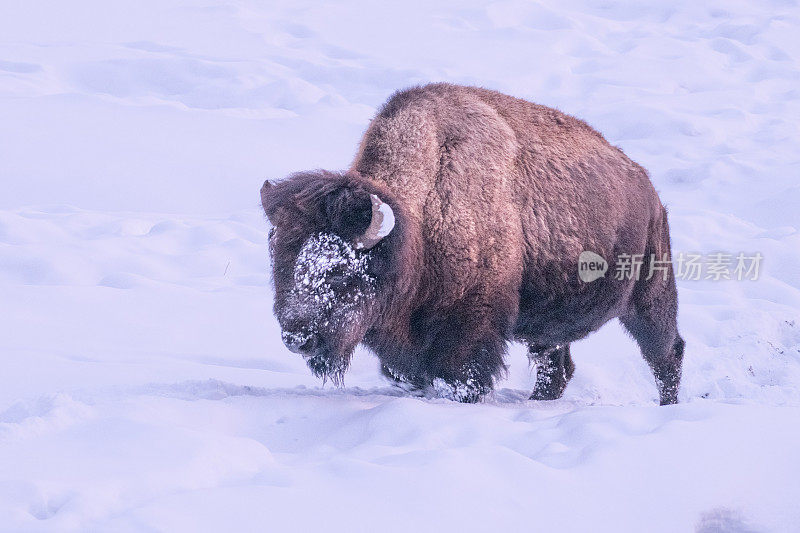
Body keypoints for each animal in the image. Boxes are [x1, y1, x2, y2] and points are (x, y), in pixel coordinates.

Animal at [260, 82, 684, 404]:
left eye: (338, 269)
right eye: (281, 263)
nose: (297, 338)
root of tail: (649, 190)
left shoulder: (470, 326)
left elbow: (464, 376)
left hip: (650, 294)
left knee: (665, 352)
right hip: (549, 324)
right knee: (556, 365)